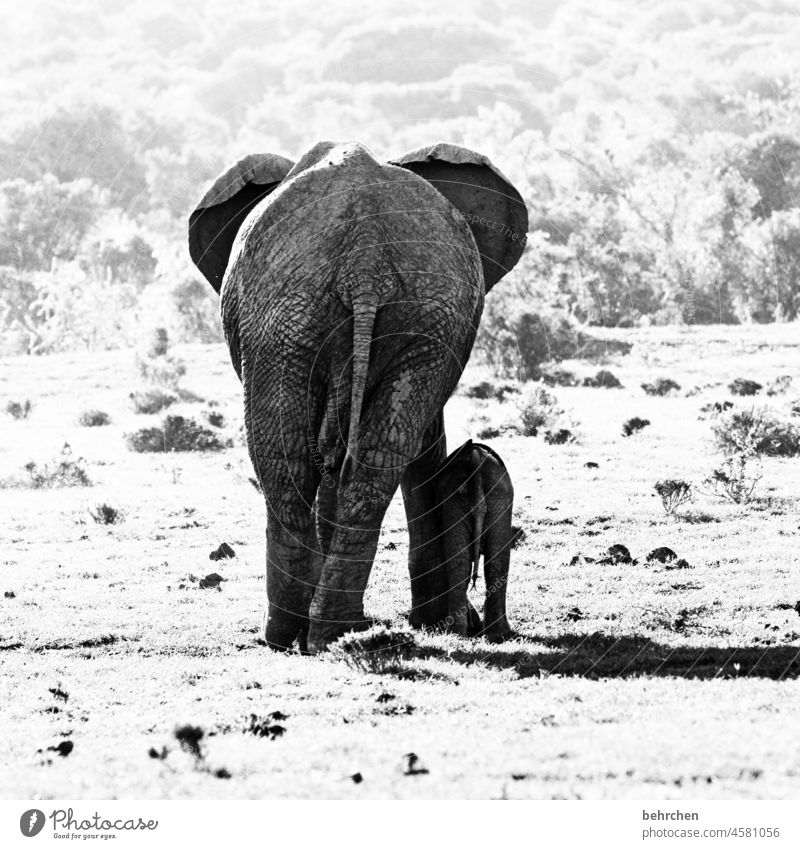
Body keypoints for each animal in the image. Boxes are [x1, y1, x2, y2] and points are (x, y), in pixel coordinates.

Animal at [434, 440, 516, 640]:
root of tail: (476, 464)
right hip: (497, 497)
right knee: (495, 562)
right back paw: (497, 635)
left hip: (457, 499)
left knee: (462, 563)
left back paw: (457, 633)